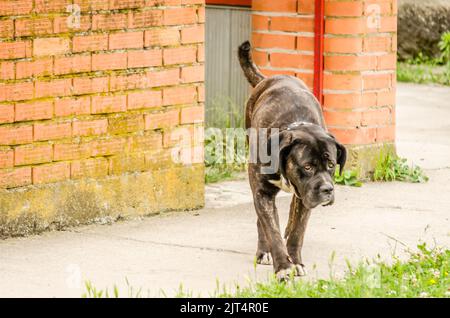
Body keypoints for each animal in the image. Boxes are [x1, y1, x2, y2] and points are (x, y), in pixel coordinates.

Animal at [239, 41, 348, 280]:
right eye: (307, 166)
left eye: (331, 165)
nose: (328, 189)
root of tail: (269, 78)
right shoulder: (262, 192)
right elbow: (271, 230)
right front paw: (282, 266)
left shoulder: (306, 197)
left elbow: (298, 231)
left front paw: (295, 261)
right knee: (263, 221)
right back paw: (263, 251)